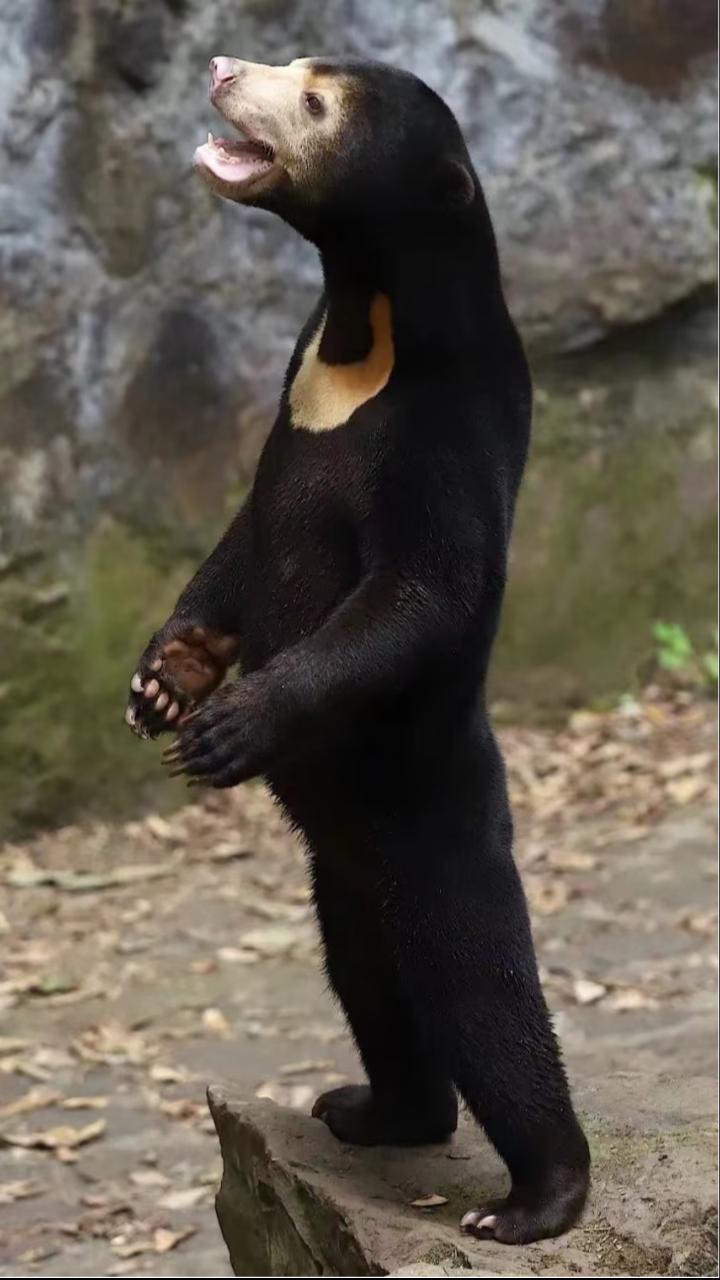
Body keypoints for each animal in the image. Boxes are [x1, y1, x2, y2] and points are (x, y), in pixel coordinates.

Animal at [125, 55, 590, 1244]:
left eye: (315, 103)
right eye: (300, 63)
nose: (220, 66)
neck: (361, 326)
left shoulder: (444, 432)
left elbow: (418, 592)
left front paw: (227, 727)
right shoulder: (289, 409)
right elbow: (242, 543)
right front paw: (162, 683)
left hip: (431, 822)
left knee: (482, 992)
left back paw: (537, 1199)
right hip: (342, 877)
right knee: (372, 981)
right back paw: (372, 1109)